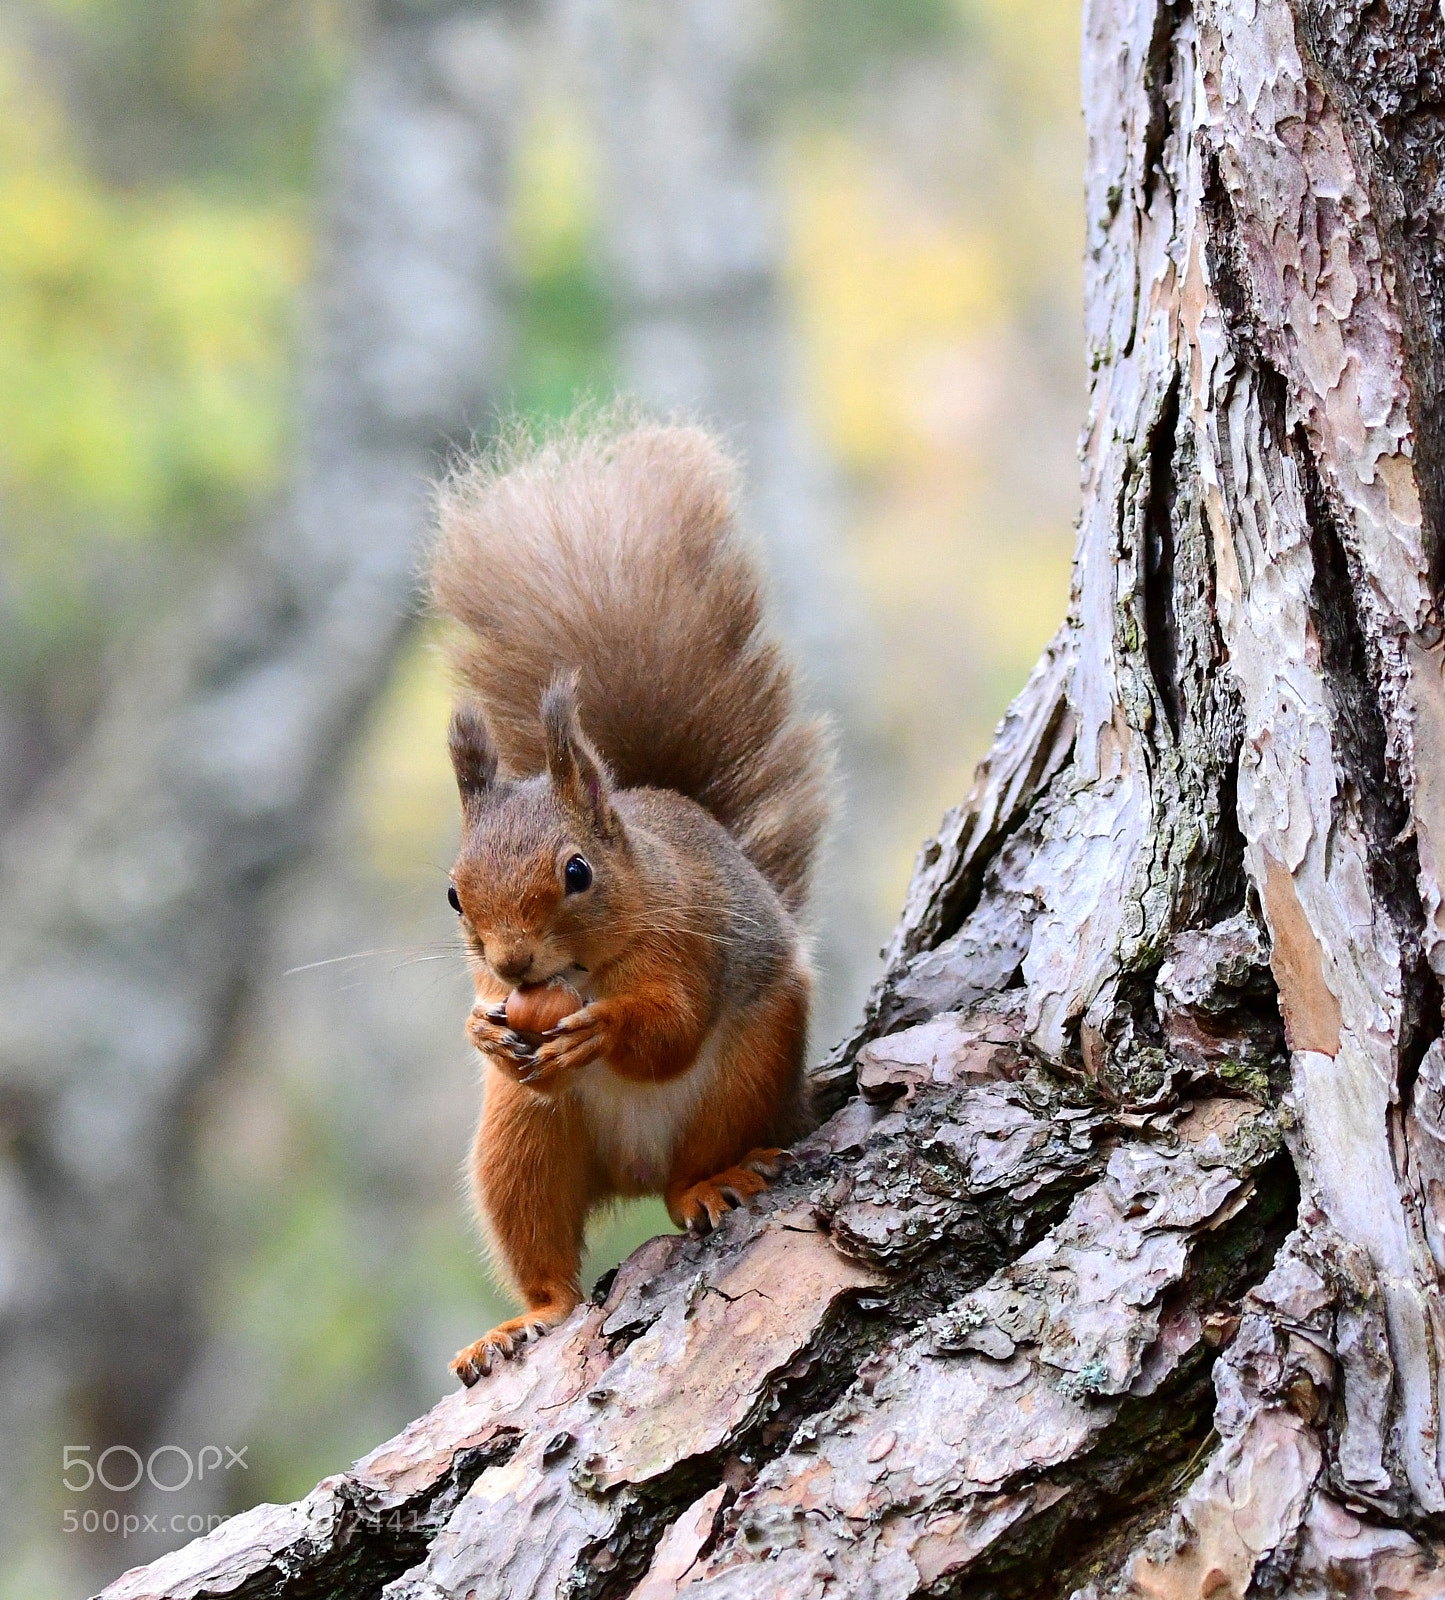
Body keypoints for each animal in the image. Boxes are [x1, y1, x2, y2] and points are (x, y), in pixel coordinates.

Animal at [429, 416, 834, 1386]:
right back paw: (522, 1322)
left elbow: (671, 1027)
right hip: (521, 1141)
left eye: (577, 873)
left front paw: (603, 1031)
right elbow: (494, 1026)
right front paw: (480, 1031)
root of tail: (640, 1168)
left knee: (696, 1159)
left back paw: (708, 1183)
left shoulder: (690, 940)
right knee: (546, 1261)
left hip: (747, 1076)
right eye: (454, 895)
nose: (512, 965)